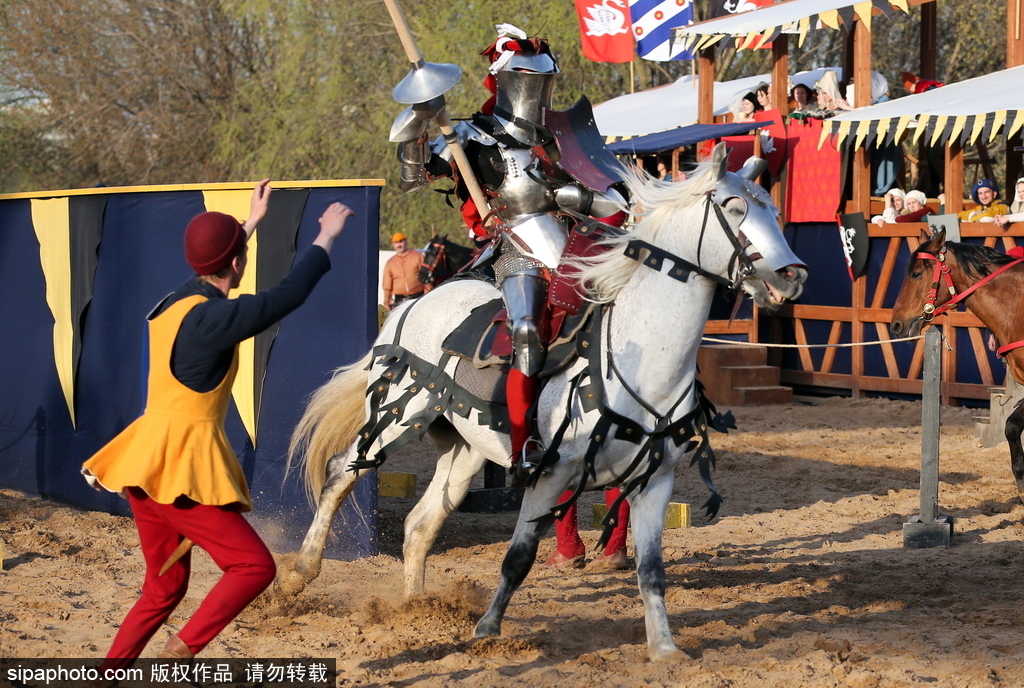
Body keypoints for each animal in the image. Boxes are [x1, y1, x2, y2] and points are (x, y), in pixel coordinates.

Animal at [276, 146, 802, 659]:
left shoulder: (654, 482)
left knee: (420, 524)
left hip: (465, 447)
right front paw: (488, 631)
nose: (792, 275)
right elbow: (517, 558)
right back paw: (300, 573)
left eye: (774, 211)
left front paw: (665, 650)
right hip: (398, 416)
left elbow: (652, 571)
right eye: (734, 208)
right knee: (342, 473)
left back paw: (416, 611)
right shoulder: (549, 475)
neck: (639, 356)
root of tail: (413, 303)